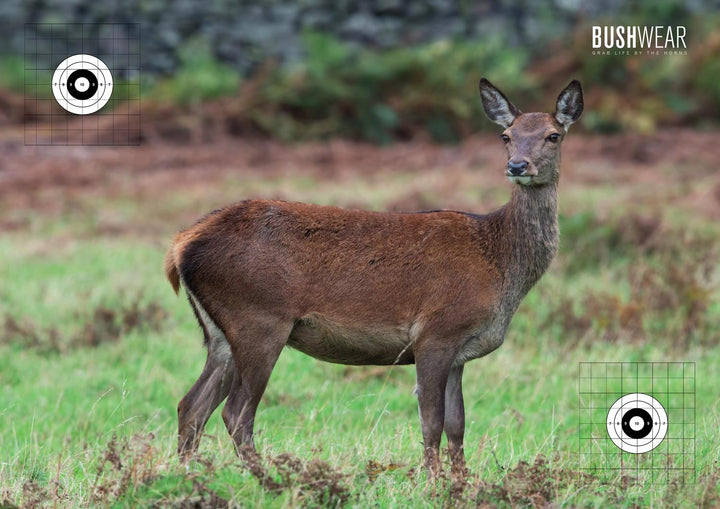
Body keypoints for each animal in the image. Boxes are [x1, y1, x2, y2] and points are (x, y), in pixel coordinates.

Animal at [164, 78, 583, 478]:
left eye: (553, 135)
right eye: (506, 136)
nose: (518, 166)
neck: (499, 262)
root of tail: (181, 244)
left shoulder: (460, 350)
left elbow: (457, 424)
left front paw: (463, 482)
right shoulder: (436, 332)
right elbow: (431, 422)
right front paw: (433, 483)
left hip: (220, 333)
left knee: (191, 405)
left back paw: (188, 475)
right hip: (258, 319)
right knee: (236, 412)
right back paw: (272, 479)